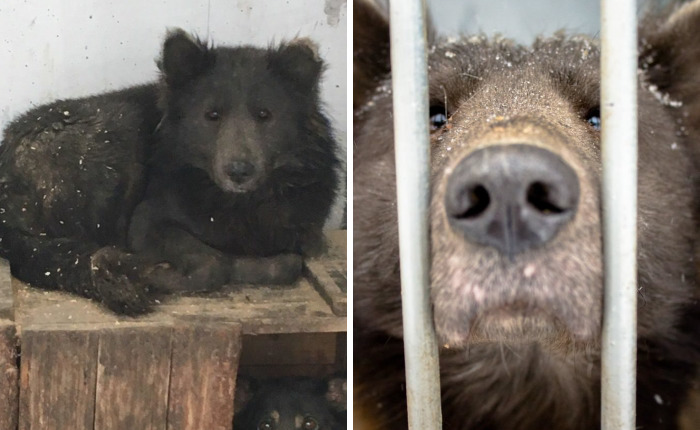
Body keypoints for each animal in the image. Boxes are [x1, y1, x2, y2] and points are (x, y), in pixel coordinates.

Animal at [0, 29, 339, 315]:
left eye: (264, 115)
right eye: (212, 115)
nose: (239, 171)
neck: (239, 204)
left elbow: (289, 262)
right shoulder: (146, 221)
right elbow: (215, 263)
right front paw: (160, 275)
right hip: (115, 134)